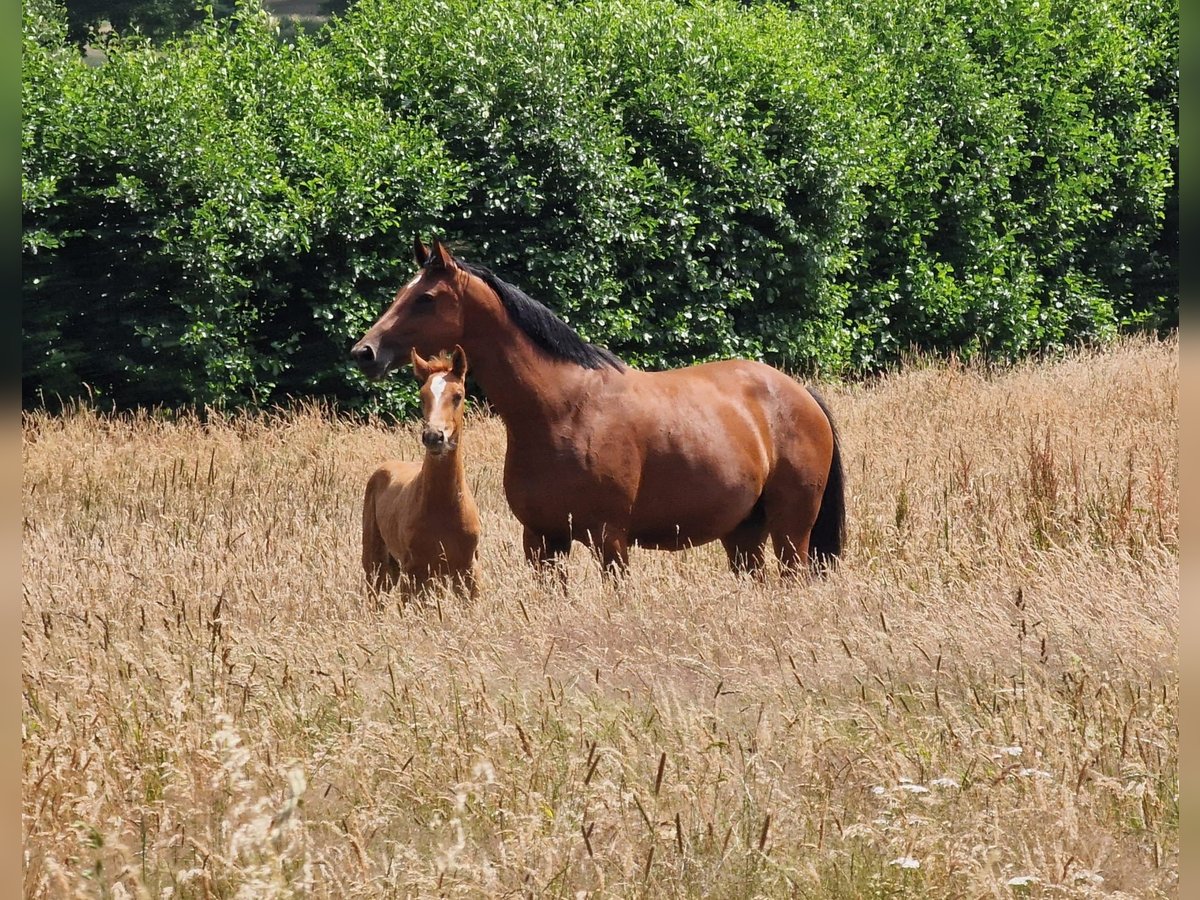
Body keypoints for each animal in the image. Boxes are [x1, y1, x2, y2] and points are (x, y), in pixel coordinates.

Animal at [360, 348, 482, 602]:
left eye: (458, 395)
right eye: (422, 396)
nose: (434, 436)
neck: (443, 508)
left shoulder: (468, 571)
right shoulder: (414, 572)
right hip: (377, 563)